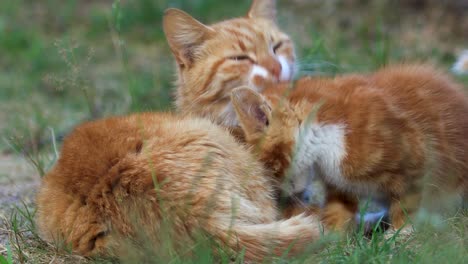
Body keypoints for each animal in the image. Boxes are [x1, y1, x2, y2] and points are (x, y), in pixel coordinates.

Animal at [229, 65, 468, 230]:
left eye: (269, 170)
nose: (281, 198)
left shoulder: (417, 161)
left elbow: (407, 204)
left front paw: (401, 234)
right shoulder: (340, 184)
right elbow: (339, 209)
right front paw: (330, 234)